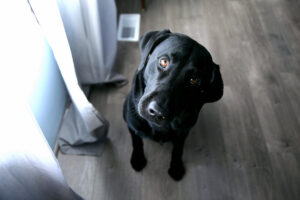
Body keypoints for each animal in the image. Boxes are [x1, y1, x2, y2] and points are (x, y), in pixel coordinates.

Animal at [122, 29, 223, 181]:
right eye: (164, 61)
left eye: (194, 80)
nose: (157, 112)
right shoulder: (132, 125)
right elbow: (137, 141)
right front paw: (138, 159)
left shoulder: (183, 132)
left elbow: (178, 149)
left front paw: (176, 167)